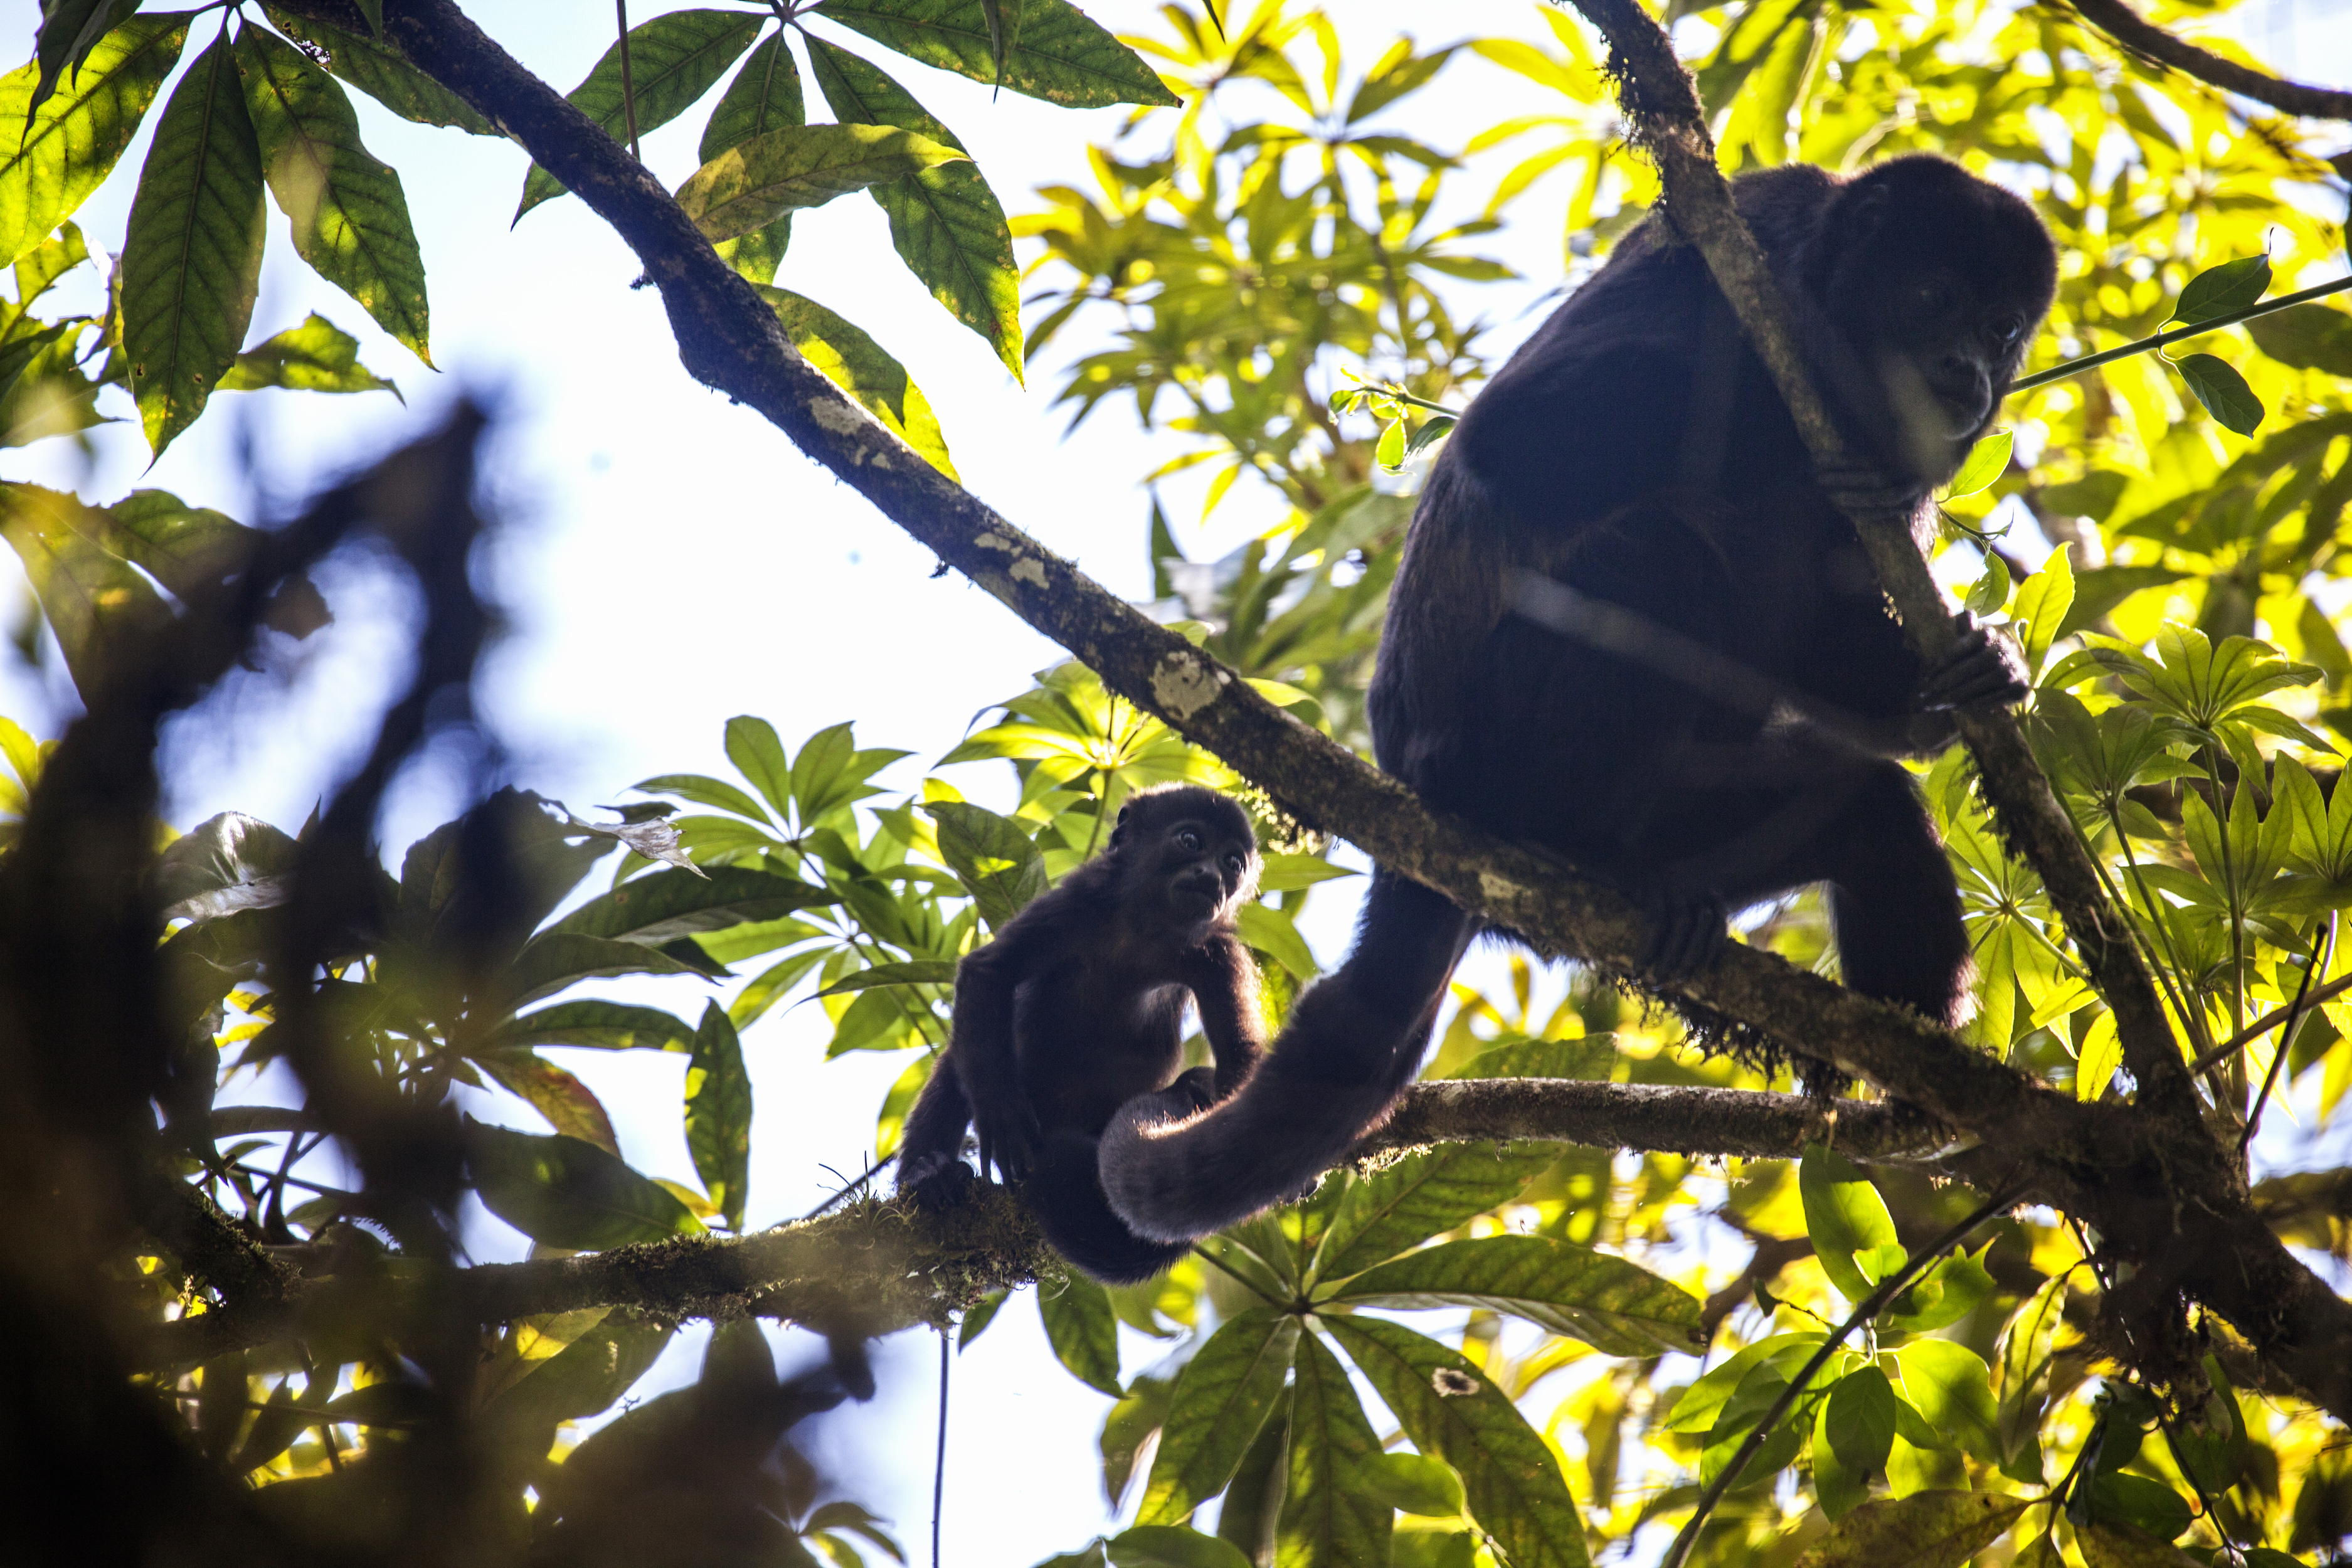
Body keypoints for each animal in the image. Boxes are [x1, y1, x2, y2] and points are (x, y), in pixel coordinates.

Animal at [895, 784, 1266, 1282]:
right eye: (1191, 841)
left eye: (1233, 863)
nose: (1212, 876)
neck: (1142, 929)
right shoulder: (1080, 900)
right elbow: (988, 971)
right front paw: (1003, 1119)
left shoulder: (1217, 950)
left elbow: (1240, 1055)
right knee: (958, 1063)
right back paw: (926, 1175)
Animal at [1100, 154, 2059, 1245]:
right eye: (1934, 297)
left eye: (2001, 327)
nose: (1969, 375)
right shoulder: (1738, 260)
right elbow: (1522, 437)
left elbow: (1824, 633)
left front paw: (1969, 671)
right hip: (1496, 754)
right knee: (1655, 556)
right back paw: (1588, 848)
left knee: (1867, 815)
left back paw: (1902, 1077)